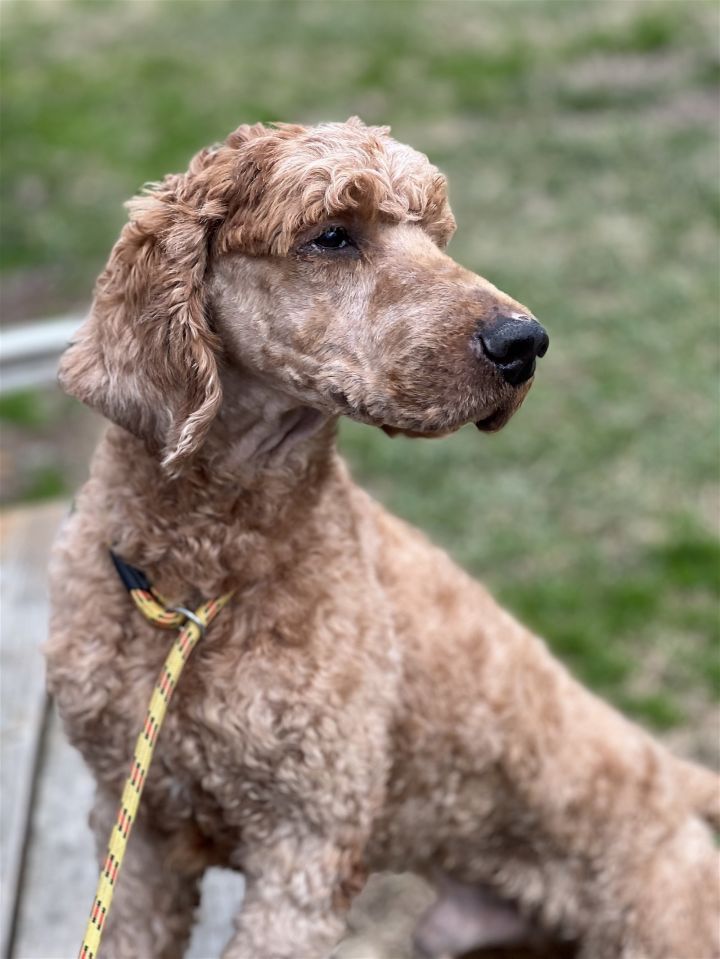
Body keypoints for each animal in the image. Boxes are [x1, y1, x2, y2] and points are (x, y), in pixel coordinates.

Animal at [46, 116, 720, 956]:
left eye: (435, 233)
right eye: (333, 234)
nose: (525, 341)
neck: (205, 574)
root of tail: (674, 772)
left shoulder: (306, 841)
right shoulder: (135, 824)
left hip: (665, 917)